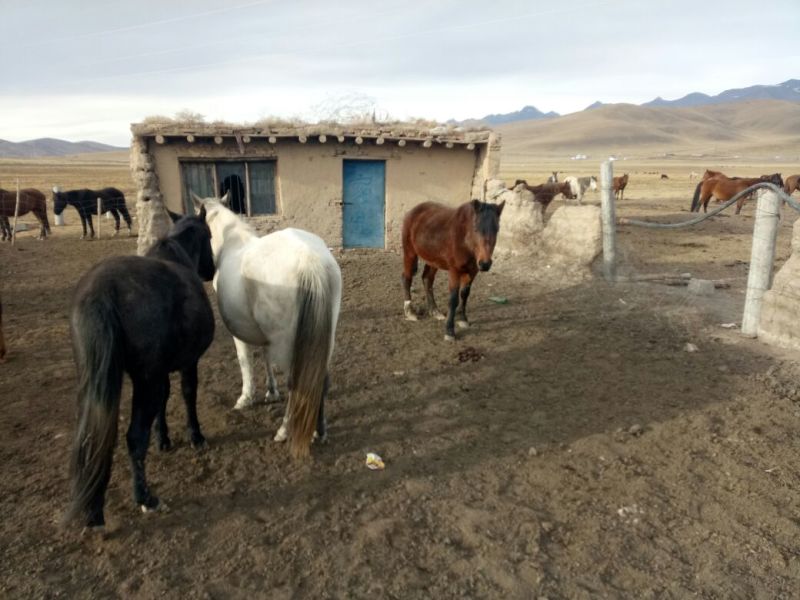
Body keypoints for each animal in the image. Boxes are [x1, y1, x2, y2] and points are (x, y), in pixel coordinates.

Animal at [65, 208, 216, 528]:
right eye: (209, 234)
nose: (210, 271)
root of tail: (102, 292)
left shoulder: (160, 372)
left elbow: (164, 403)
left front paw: (164, 439)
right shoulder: (185, 363)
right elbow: (187, 395)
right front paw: (194, 436)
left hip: (101, 382)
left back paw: (94, 511)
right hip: (145, 380)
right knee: (133, 437)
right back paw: (145, 498)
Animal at [192, 192, 342, 459]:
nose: (204, 273)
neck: (231, 244)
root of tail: (310, 261)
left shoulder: (239, 334)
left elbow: (245, 363)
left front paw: (246, 398)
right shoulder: (264, 336)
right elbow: (265, 356)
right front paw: (271, 392)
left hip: (290, 346)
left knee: (298, 385)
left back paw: (284, 431)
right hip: (324, 342)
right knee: (319, 382)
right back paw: (320, 432)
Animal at [402, 199, 505, 341]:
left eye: (497, 229)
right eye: (476, 228)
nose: (485, 264)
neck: (465, 240)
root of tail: (413, 211)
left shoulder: (472, 271)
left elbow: (465, 294)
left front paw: (462, 319)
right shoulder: (454, 271)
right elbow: (453, 299)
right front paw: (449, 331)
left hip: (433, 260)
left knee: (427, 279)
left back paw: (435, 311)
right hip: (410, 253)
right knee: (407, 278)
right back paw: (410, 311)